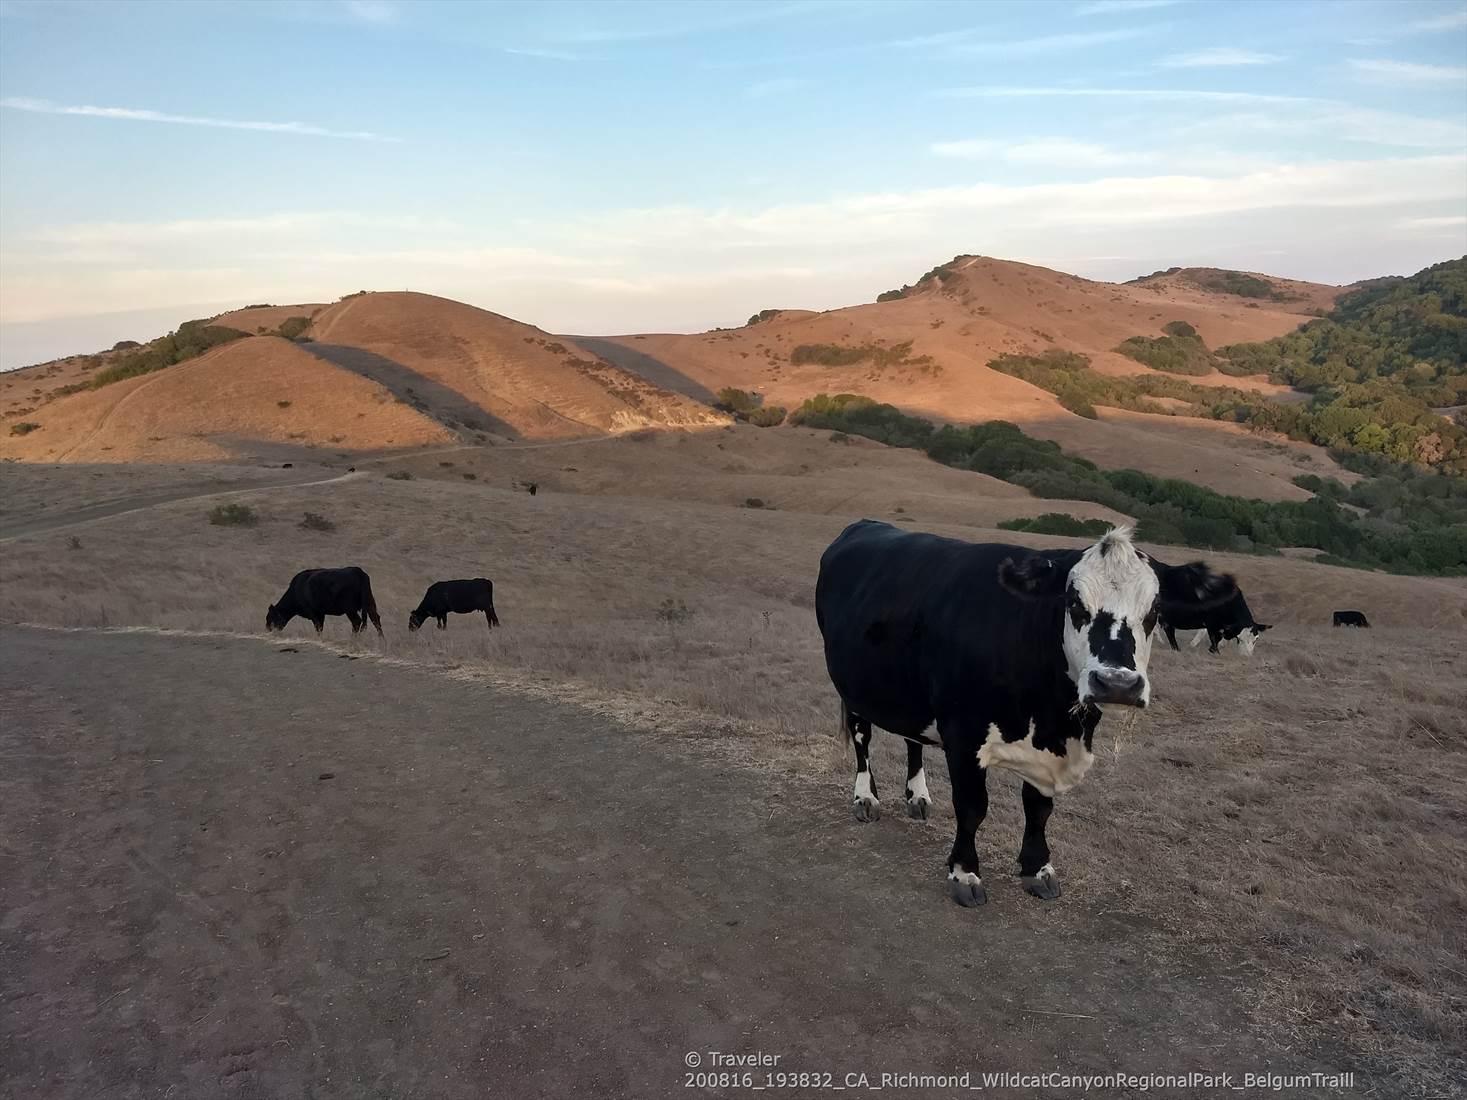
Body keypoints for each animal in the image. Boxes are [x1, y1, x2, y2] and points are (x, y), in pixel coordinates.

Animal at [815, 520, 1236, 907]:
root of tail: (866, 525)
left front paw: (1037, 868)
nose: (1117, 682)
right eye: (1074, 603)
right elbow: (972, 808)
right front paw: (965, 873)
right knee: (862, 737)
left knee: (912, 740)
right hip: (851, 686)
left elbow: (1039, 808)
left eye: (1155, 609)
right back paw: (866, 799)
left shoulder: (1049, 746)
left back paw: (917, 797)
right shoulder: (963, 736)